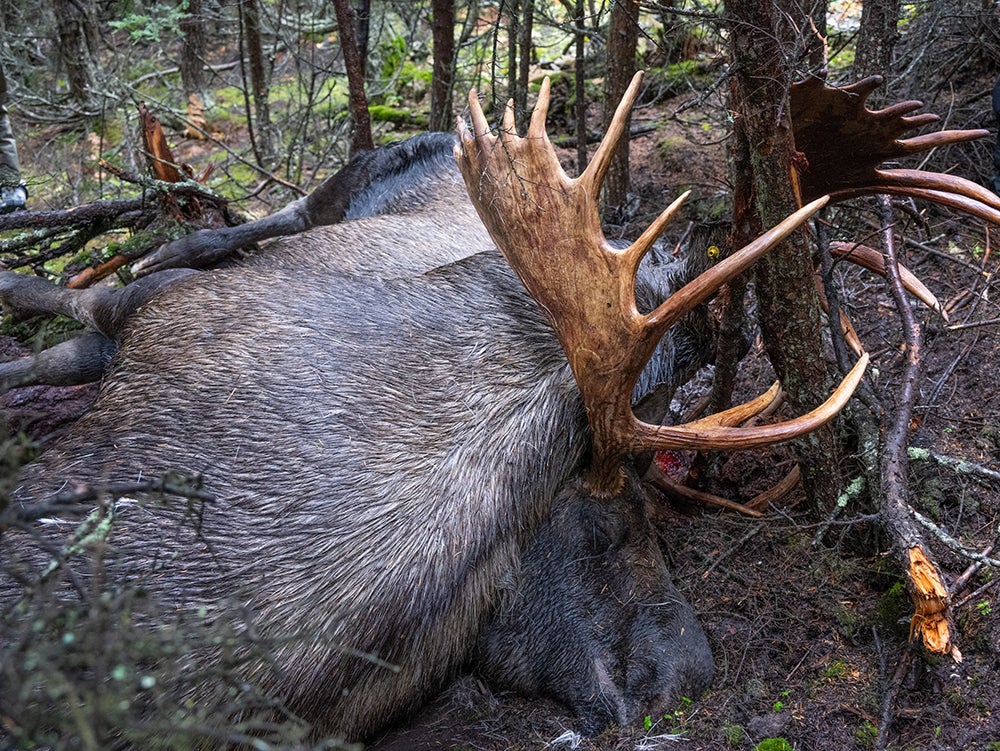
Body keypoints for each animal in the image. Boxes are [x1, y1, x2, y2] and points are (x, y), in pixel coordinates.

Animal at [1, 72, 1000, 748]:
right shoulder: (162, 309)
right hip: (328, 190)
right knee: (218, 229)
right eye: (610, 524)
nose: (686, 674)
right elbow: (89, 314)